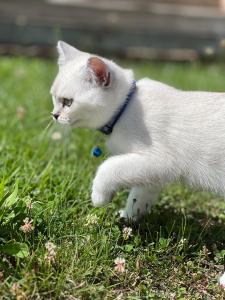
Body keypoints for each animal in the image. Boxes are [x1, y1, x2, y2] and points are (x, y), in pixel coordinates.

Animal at [50, 41, 225, 220]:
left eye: (68, 102)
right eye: (54, 98)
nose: (54, 115)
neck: (126, 108)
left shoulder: (160, 160)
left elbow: (108, 167)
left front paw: (99, 196)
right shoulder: (150, 171)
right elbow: (139, 196)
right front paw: (128, 217)